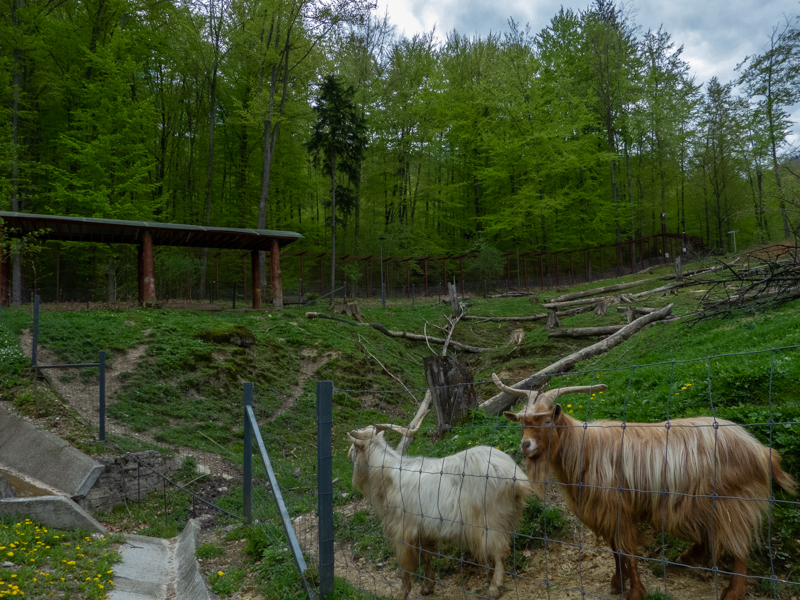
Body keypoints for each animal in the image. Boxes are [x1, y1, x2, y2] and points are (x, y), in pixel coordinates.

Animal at [347, 421, 532, 600]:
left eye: (355, 445)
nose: (348, 454)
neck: (389, 477)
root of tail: (516, 476)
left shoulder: (403, 530)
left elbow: (405, 565)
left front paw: (402, 593)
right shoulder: (423, 530)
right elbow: (425, 556)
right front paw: (427, 586)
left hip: (492, 519)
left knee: (501, 551)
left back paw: (495, 588)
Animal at [493, 373, 797, 600]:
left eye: (547, 420)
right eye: (521, 423)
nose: (526, 445)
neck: (585, 448)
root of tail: (761, 450)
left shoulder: (618, 509)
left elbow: (627, 552)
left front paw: (635, 591)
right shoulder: (607, 513)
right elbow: (616, 552)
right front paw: (618, 583)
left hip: (733, 501)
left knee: (738, 545)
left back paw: (732, 591)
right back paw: (685, 559)